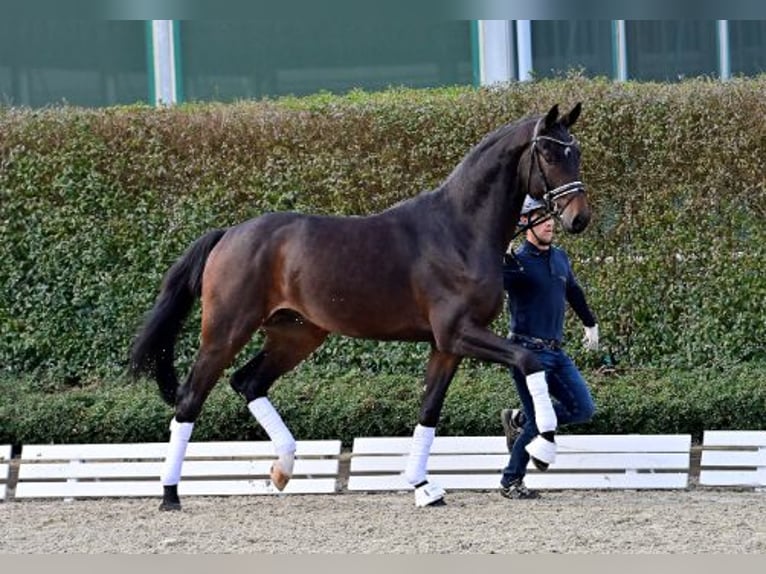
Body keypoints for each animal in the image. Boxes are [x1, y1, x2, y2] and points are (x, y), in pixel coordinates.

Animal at [130, 101, 592, 510]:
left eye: (577, 151)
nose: (579, 218)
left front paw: (423, 486)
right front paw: (542, 448)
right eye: (549, 153)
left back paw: (283, 468)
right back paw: (170, 494)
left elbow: (429, 410)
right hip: (226, 332)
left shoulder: (446, 346)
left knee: (249, 383)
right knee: (191, 400)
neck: (459, 230)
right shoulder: (459, 333)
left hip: (296, 335)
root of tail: (228, 234)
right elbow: (528, 360)